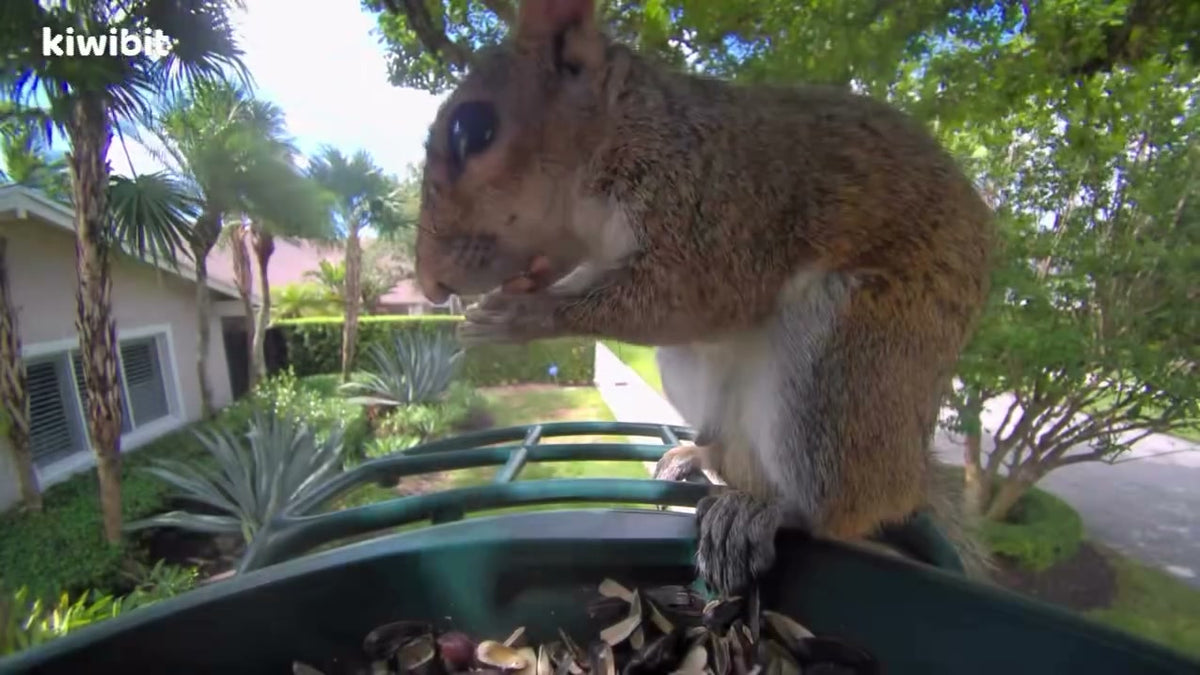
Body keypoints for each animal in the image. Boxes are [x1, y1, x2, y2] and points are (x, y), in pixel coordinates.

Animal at [413, 0, 995, 595]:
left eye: (473, 130)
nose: (430, 282)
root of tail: (909, 474)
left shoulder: (721, 210)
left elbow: (689, 297)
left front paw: (517, 317)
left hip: (844, 363)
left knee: (834, 508)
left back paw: (765, 511)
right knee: (728, 450)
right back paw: (697, 453)